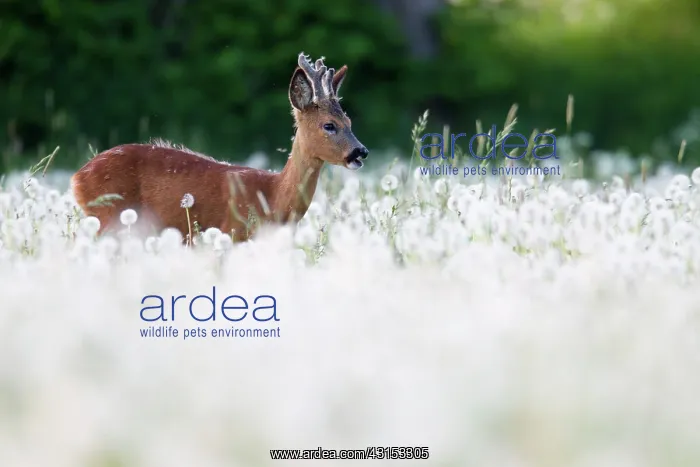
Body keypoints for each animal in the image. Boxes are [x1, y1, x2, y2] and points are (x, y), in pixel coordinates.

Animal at [70, 52, 368, 242]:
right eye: (329, 125)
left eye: (349, 121)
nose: (360, 152)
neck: (273, 196)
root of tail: (77, 177)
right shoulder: (231, 232)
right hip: (109, 216)